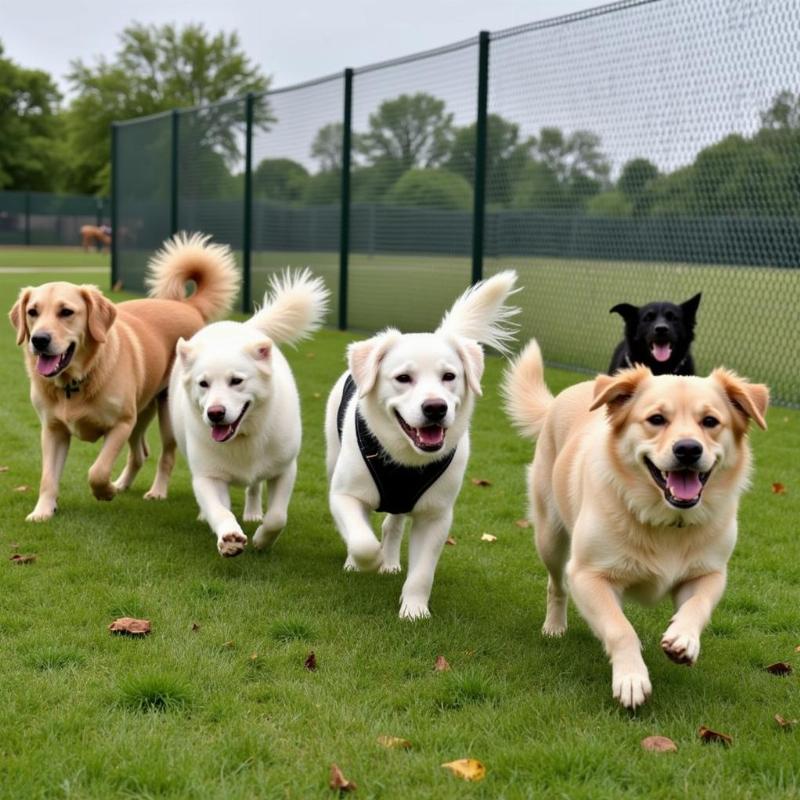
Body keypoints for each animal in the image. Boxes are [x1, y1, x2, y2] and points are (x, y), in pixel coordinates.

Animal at [9, 231, 239, 520]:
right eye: (32, 312)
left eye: (66, 312)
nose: (39, 340)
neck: (77, 381)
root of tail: (188, 306)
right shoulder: (53, 430)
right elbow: (48, 477)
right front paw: (43, 511)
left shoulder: (121, 423)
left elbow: (97, 470)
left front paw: (104, 491)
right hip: (140, 412)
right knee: (140, 454)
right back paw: (122, 483)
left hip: (163, 416)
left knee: (166, 455)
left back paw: (156, 491)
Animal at [170, 268, 330, 556]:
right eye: (203, 384)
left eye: (236, 381)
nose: (215, 413)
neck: (242, 436)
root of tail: (239, 327)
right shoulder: (208, 478)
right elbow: (220, 511)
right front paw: (229, 537)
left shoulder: (285, 470)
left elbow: (277, 517)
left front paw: (262, 540)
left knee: (254, 487)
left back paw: (254, 513)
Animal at [324, 274, 520, 620]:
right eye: (403, 378)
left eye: (449, 376)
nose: (435, 408)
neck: (405, 458)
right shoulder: (343, 495)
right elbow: (361, 541)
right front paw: (367, 560)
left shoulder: (436, 516)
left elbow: (422, 572)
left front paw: (414, 609)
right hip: (334, 459)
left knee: (392, 524)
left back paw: (389, 561)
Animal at [506, 340, 768, 708]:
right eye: (656, 419)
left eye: (710, 421)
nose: (688, 449)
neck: (665, 520)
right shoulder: (587, 574)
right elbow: (619, 629)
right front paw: (631, 677)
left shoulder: (710, 574)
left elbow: (697, 605)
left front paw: (683, 638)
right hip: (550, 538)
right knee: (556, 586)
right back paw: (555, 626)